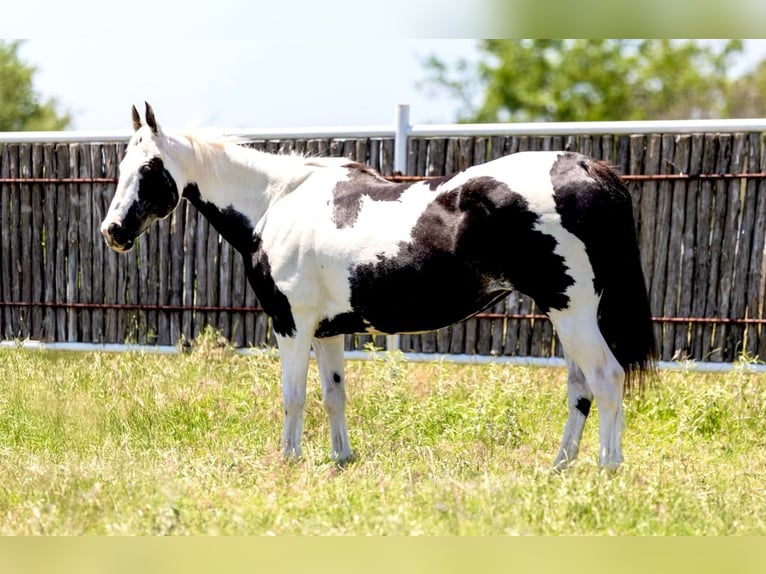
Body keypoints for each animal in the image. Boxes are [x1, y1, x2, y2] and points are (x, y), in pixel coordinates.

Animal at [101, 103, 656, 470]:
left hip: (573, 313)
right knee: (580, 389)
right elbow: (333, 395)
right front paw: (340, 459)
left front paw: (288, 461)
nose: (113, 232)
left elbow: (293, 396)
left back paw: (606, 470)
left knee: (606, 379)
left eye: (149, 168)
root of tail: (585, 167)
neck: (275, 202)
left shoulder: (291, 325)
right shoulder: (326, 331)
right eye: (121, 167)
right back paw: (559, 467)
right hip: (563, 315)